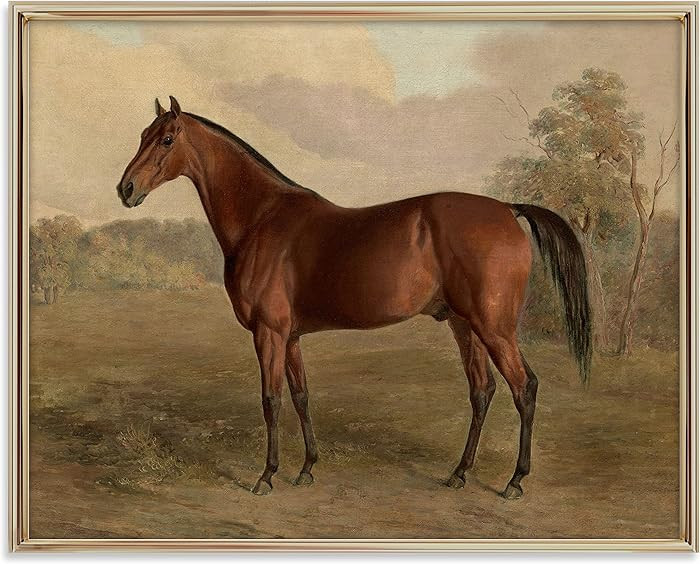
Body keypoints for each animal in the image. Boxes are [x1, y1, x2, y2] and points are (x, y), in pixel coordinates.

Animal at [117, 96, 591, 499]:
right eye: (142, 134)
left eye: (166, 139)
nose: (126, 189)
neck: (262, 218)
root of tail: (508, 209)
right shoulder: (290, 337)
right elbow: (301, 396)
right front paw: (307, 469)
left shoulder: (269, 333)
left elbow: (271, 400)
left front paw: (267, 476)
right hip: (465, 325)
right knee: (482, 390)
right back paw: (459, 473)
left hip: (494, 327)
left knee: (523, 387)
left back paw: (515, 481)